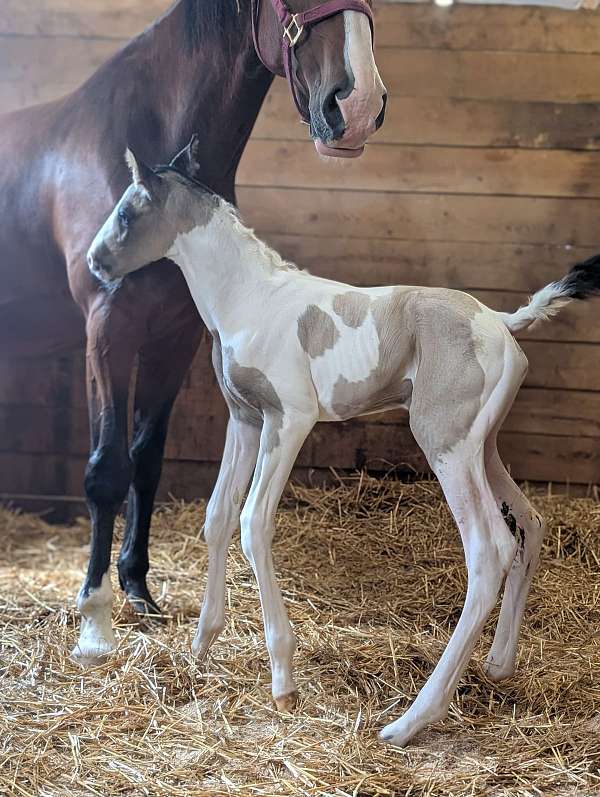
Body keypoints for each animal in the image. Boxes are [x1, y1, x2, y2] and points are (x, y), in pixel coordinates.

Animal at [0, 0, 386, 633]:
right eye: (289, 3)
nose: (354, 108)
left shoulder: (173, 338)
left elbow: (145, 462)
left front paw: (137, 588)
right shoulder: (108, 329)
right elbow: (106, 469)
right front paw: (93, 600)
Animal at [87, 139, 600, 745]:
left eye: (126, 212)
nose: (95, 262)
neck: (249, 298)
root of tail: (500, 321)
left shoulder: (289, 419)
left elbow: (253, 523)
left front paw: (283, 681)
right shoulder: (245, 420)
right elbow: (217, 515)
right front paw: (202, 643)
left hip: (446, 445)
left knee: (488, 548)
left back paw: (411, 720)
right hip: (483, 448)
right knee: (531, 522)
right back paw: (498, 665)